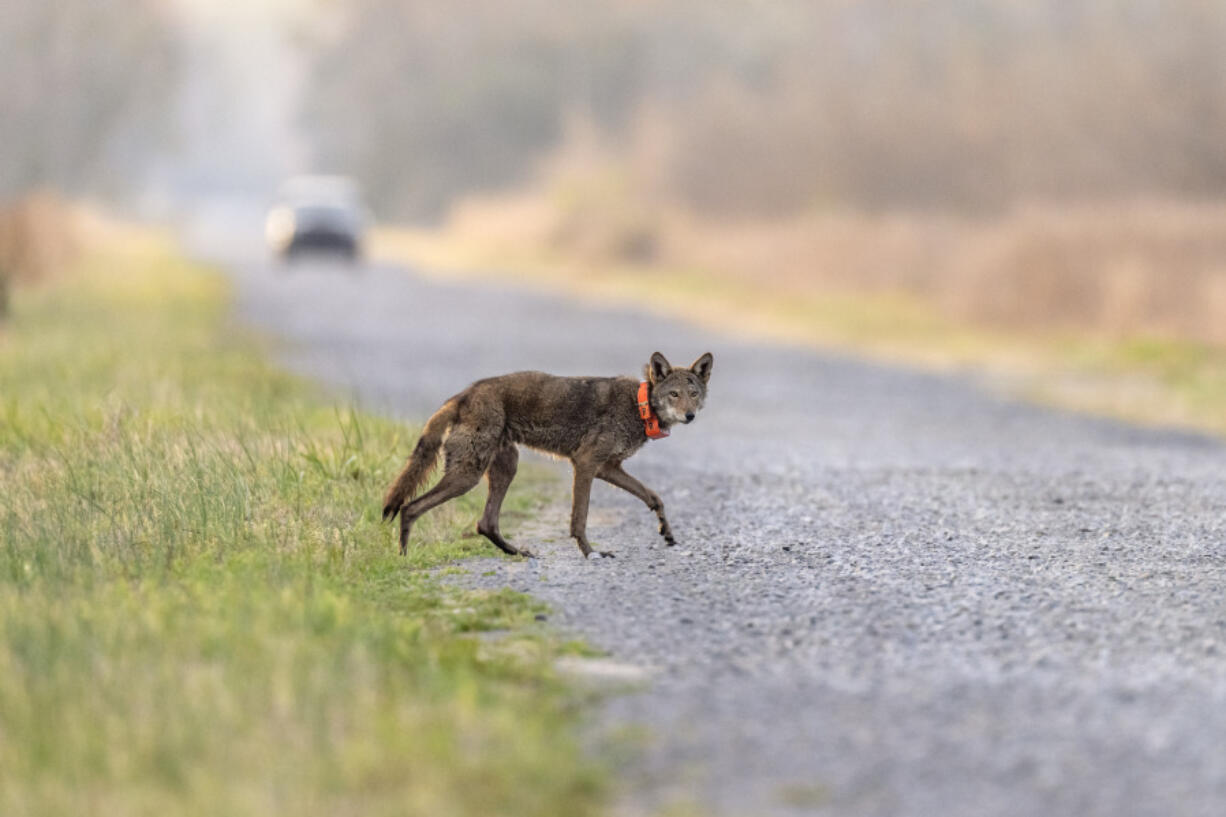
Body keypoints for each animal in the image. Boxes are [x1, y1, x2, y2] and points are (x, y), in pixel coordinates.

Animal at [380, 353, 711, 556]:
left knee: (485, 523)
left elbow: (654, 497)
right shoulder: (586, 464)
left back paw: (518, 553)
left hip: (504, 468)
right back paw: (404, 558)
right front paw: (591, 553)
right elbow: (580, 518)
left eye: (693, 394)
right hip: (467, 476)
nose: (690, 416)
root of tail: (463, 394)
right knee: (410, 507)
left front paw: (666, 532)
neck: (639, 406)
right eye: (674, 395)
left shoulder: (609, 468)